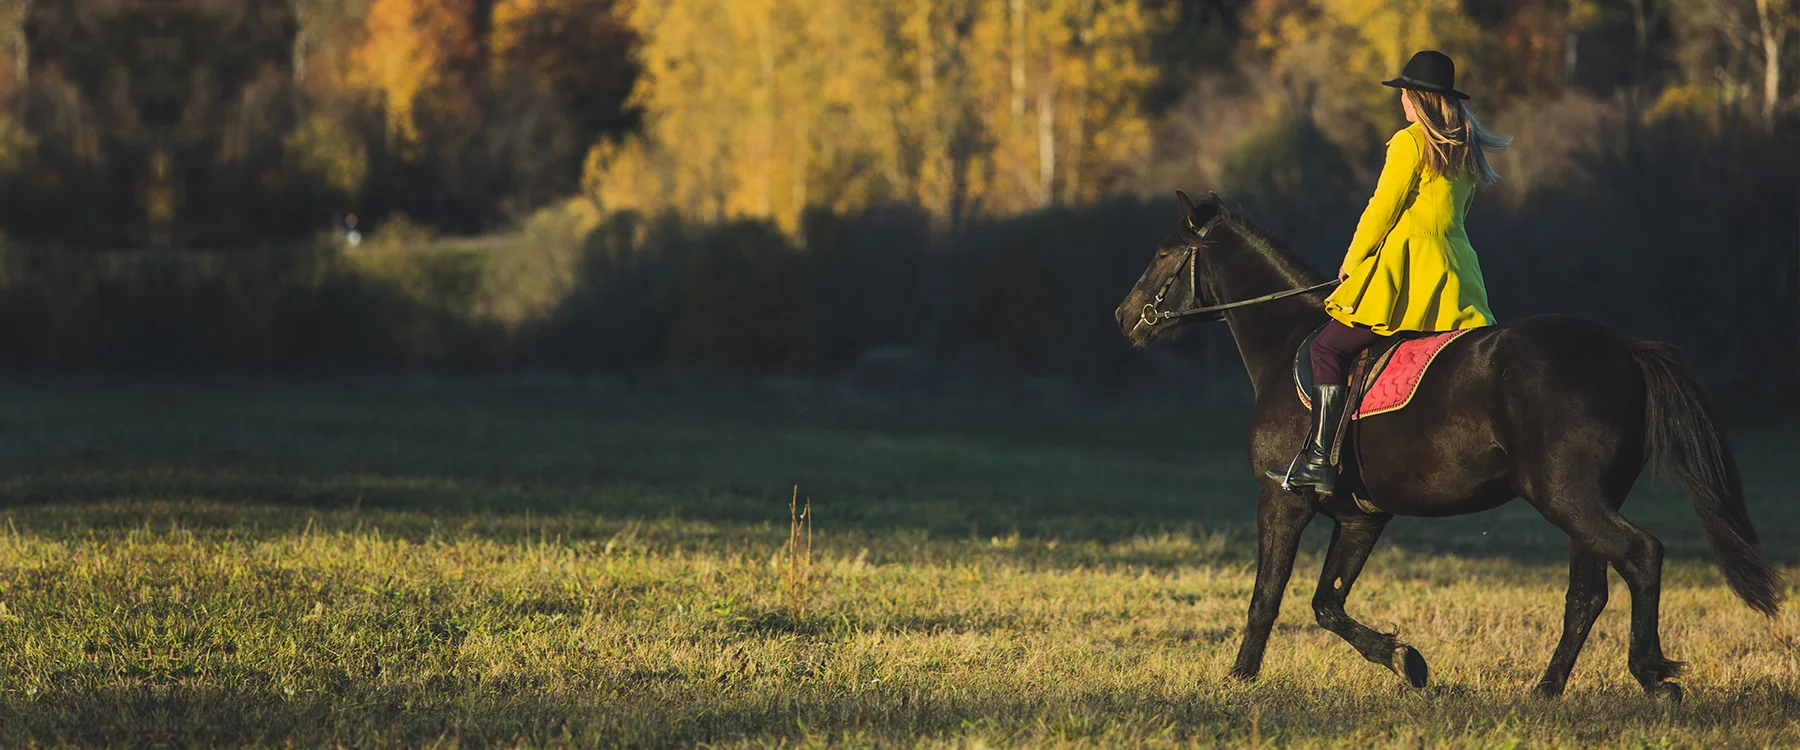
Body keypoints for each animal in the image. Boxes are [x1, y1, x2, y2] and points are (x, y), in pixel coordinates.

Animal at [1113, 190, 1783, 700]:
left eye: (1164, 254)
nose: (1124, 316)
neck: (1289, 347)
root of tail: (1621, 347)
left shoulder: (1283, 502)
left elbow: (1267, 598)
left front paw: (1239, 680)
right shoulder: (1361, 518)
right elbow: (1327, 602)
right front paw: (1404, 659)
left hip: (1568, 497)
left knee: (1642, 555)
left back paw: (1652, 676)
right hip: (1582, 503)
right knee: (1587, 593)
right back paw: (1546, 691)